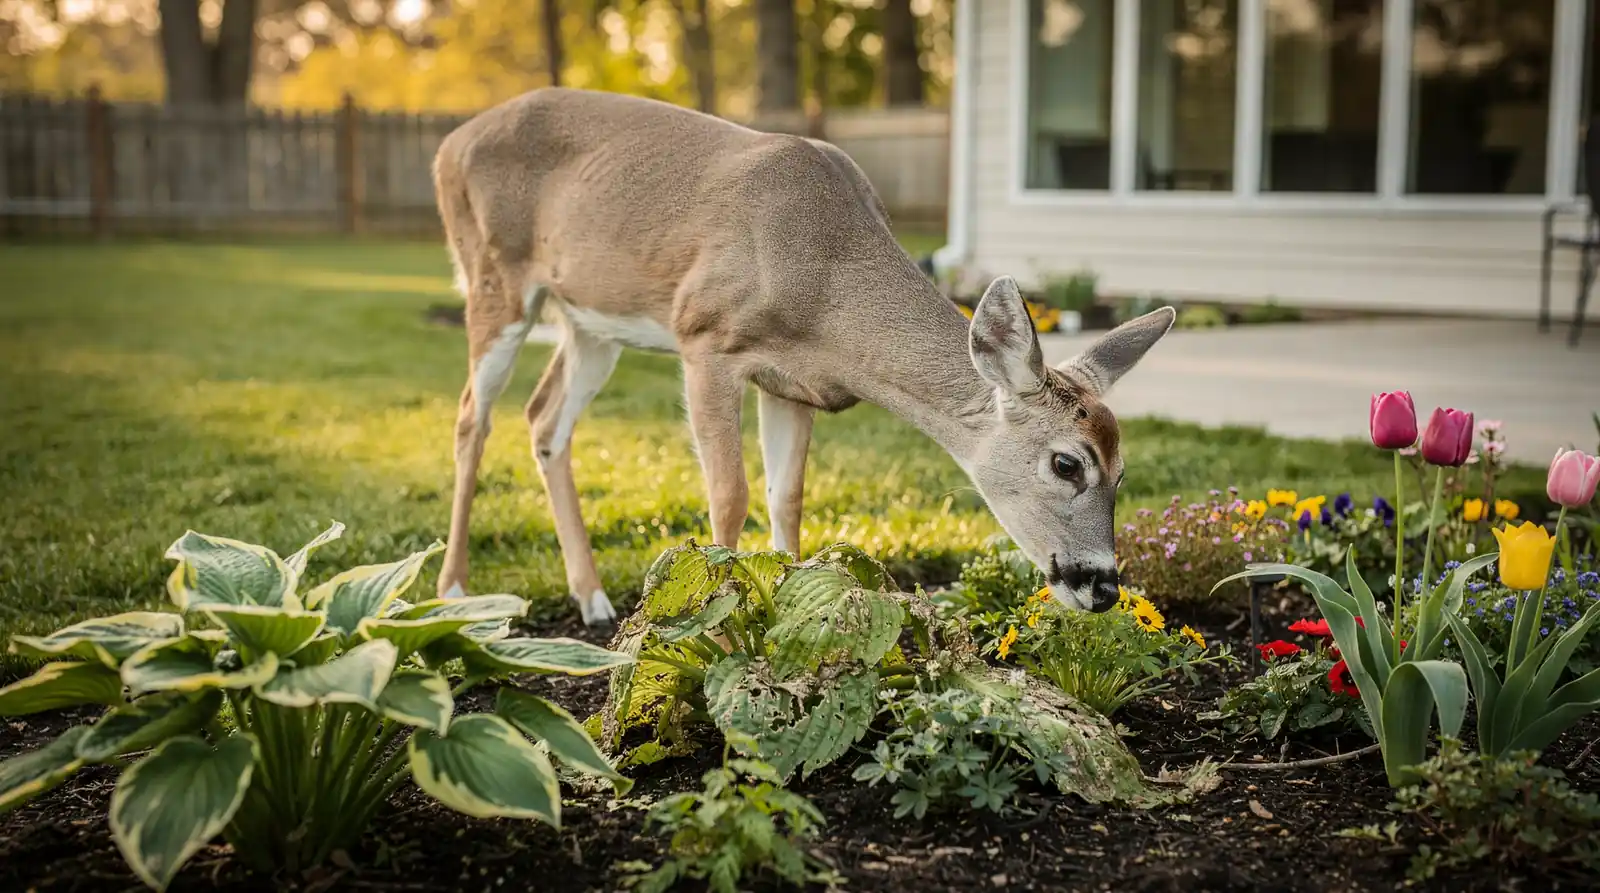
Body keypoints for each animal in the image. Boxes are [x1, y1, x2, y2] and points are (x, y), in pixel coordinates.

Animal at [431, 87, 1176, 627]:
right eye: (1067, 463)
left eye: (1123, 470)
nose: (1103, 588)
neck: (823, 282)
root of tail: (449, 142)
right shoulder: (704, 338)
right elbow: (728, 496)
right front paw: (719, 625)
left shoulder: (792, 383)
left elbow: (786, 497)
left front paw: (784, 612)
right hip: (494, 280)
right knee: (472, 415)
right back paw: (454, 589)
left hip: (591, 322)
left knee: (543, 418)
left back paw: (590, 599)